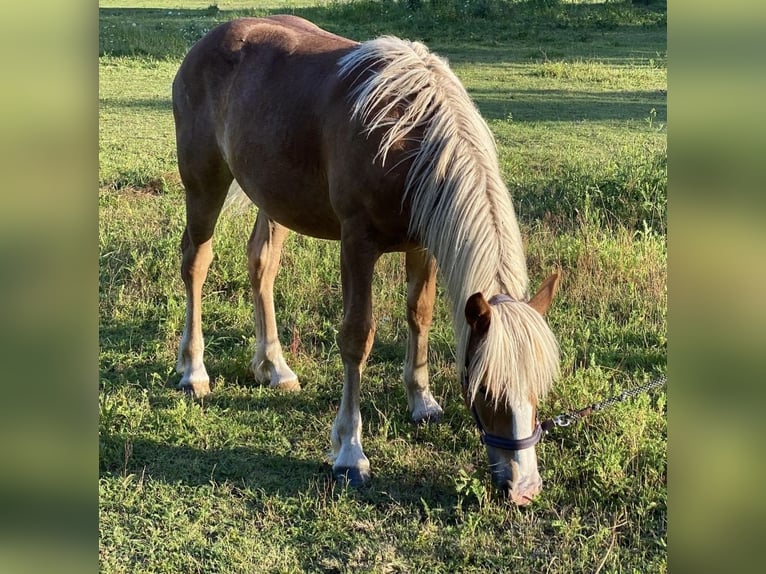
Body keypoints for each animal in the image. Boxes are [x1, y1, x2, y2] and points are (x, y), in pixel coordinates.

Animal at [172, 15, 564, 506]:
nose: (524, 488)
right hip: (203, 184)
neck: (407, 137)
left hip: (274, 198)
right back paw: (193, 371)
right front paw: (350, 452)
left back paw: (274, 368)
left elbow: (420, 315)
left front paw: (422, 401)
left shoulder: (422, 244)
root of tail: (210, 39)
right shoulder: (357, 245)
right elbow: (358, 337)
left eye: (540, 386)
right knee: (196, 262)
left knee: (261, 265)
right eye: (487, 388)